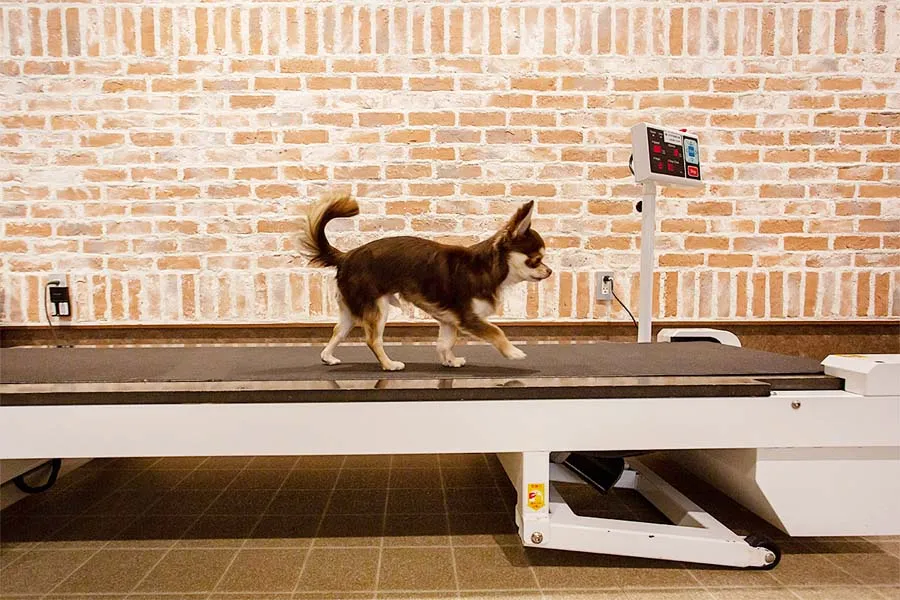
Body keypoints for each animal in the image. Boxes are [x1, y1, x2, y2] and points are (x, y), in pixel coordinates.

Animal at [298, 194, 552, 371]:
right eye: (535, 260)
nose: (549, 271)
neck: (487, 267)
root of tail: (346, 256)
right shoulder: (469, 318)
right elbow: (496, 331)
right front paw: (513, 352)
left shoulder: (450, 319)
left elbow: (445, 343)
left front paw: (450, 361)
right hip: (376, 307)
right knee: (372, 339)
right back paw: (389, 365)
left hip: (352, 309)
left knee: (338, 331)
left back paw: (328, 357)